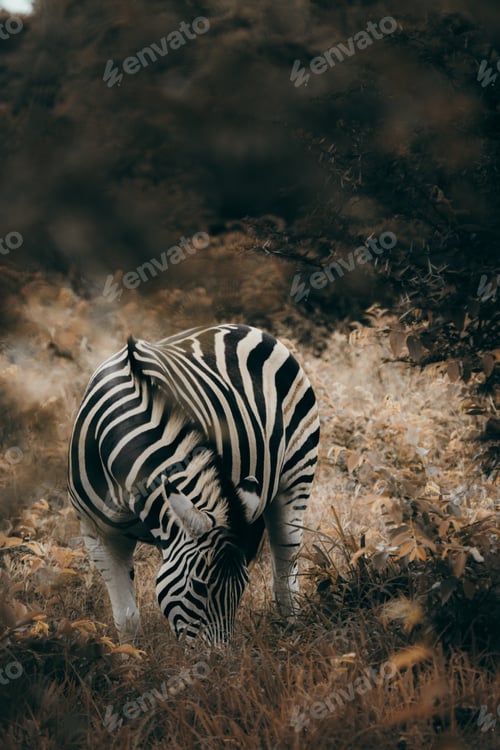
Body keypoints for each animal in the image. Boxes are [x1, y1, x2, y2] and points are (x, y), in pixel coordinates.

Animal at [68, 324, 319, 644]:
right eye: (199, 587)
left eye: (240, 589)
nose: (220, 659)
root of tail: (245, 327)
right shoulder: (99, 535)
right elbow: (127, 620)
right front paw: (130, 658)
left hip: (296, 475)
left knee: (286, 571)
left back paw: (291, 634)